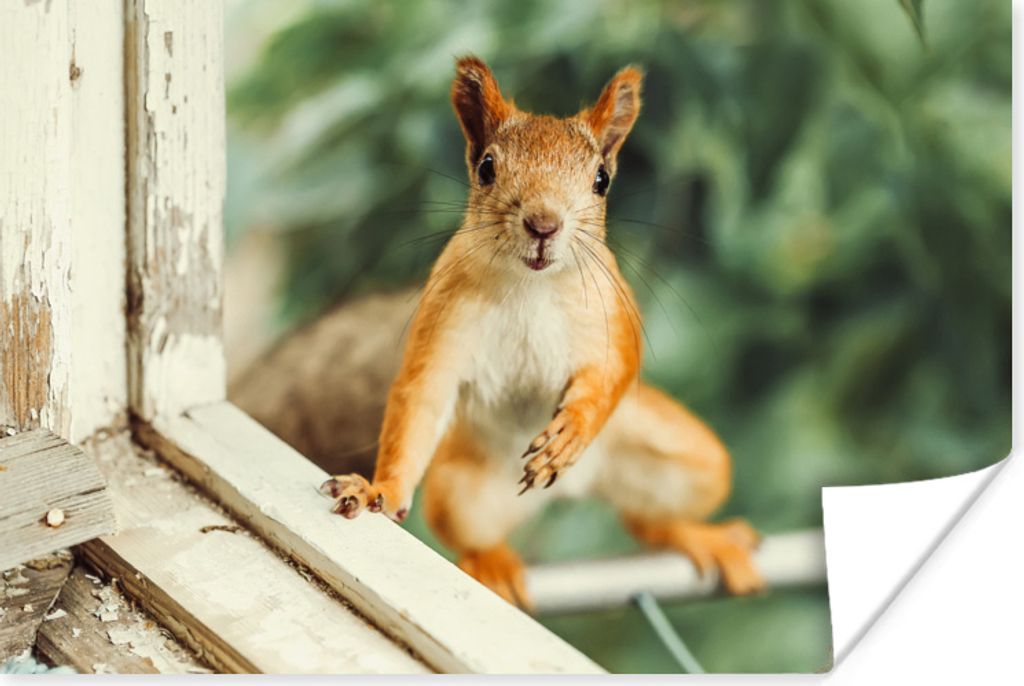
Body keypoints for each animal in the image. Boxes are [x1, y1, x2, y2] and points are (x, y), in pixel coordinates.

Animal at [320, 55, 765, 607]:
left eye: (602, 179)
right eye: (487, 167)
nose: (543, 224)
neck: (531, 285)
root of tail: (579, 487)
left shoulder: (613, 315)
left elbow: (615, 370)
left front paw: (572, 430)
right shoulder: (444, 319)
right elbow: (420, 398)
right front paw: (378, 489)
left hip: (693, 462)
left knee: (648, 518)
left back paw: (698, 536)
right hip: (460, 491)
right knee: (475, 529)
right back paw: (491, 562)